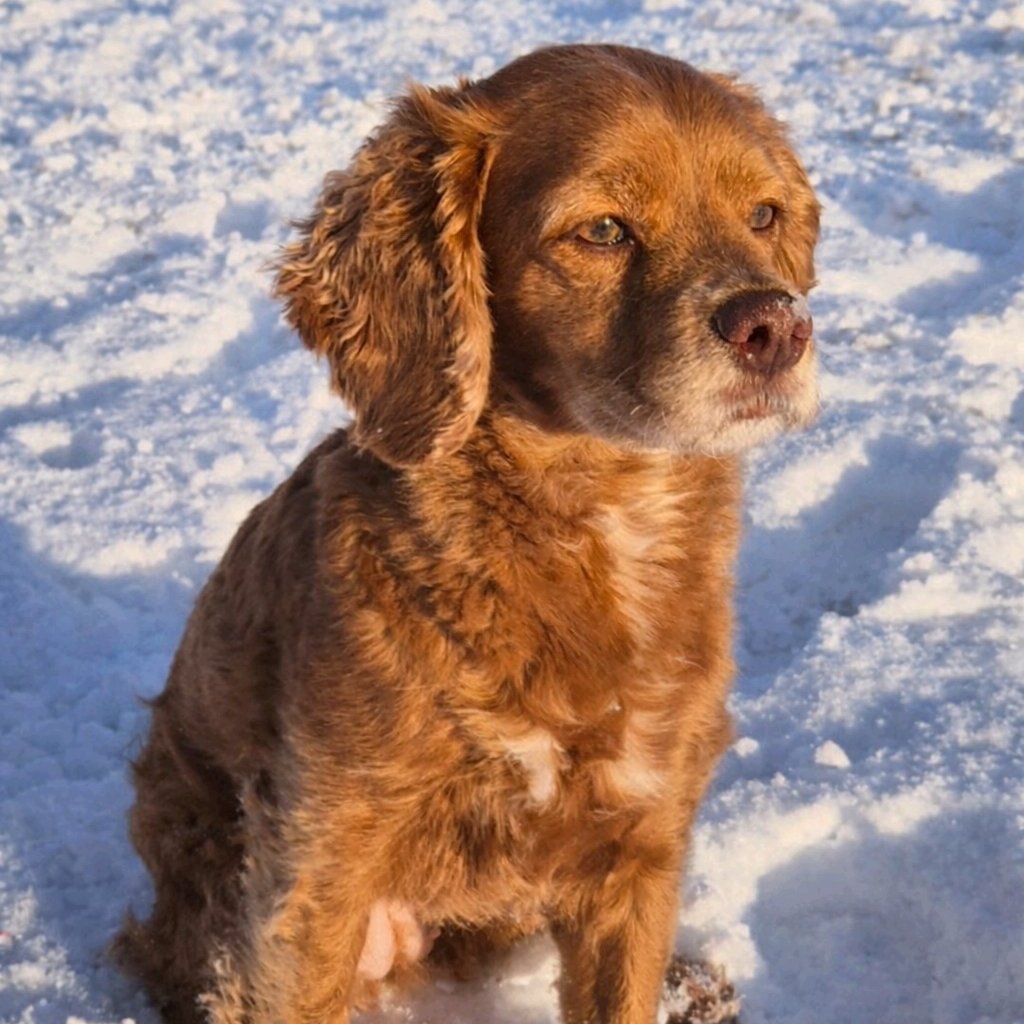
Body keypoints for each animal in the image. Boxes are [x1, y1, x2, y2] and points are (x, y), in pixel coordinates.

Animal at [115, 43, 820, 1024]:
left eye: (764, 214)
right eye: (603, 231)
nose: (776, 325)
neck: (600, 531)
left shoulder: (643, 841)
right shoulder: (318, 869)